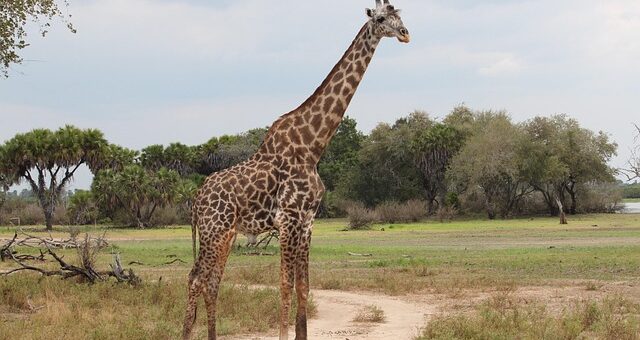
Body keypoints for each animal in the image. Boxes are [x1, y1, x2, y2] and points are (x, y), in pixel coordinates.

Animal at [181, 1, 410, 338]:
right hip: (215, 229)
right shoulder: (288, 219)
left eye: (401, 15)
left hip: (226, 234)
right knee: (195, 279)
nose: (405, 34)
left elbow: (304, 287)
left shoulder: (307, 222)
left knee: (211, 282)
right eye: (381, 18)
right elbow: (285, 286)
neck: (312, 147)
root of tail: (196, 200)